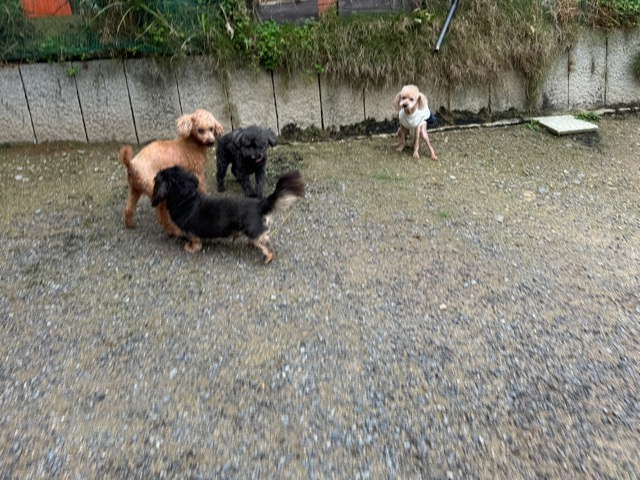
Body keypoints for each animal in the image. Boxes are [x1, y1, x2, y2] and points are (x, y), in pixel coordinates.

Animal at [152, 165, 304, 264]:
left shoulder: (191, 231)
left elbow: (195, 241)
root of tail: (259, 204)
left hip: (252, 230)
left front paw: (191, 248)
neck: (187, 198)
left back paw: (267, 256)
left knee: (265, 240)